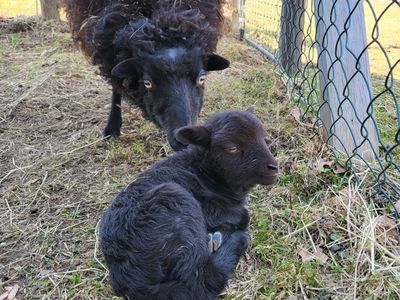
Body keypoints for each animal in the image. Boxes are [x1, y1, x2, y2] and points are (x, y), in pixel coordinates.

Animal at [99, 109, 278, 298]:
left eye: (263, 138)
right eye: (231, 148)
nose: (274, 168)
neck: (203, 171)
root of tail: (132, 284)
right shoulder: (210, 208)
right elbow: (244, 214)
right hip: (176, 204)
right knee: (201, 281)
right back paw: (233, 239)